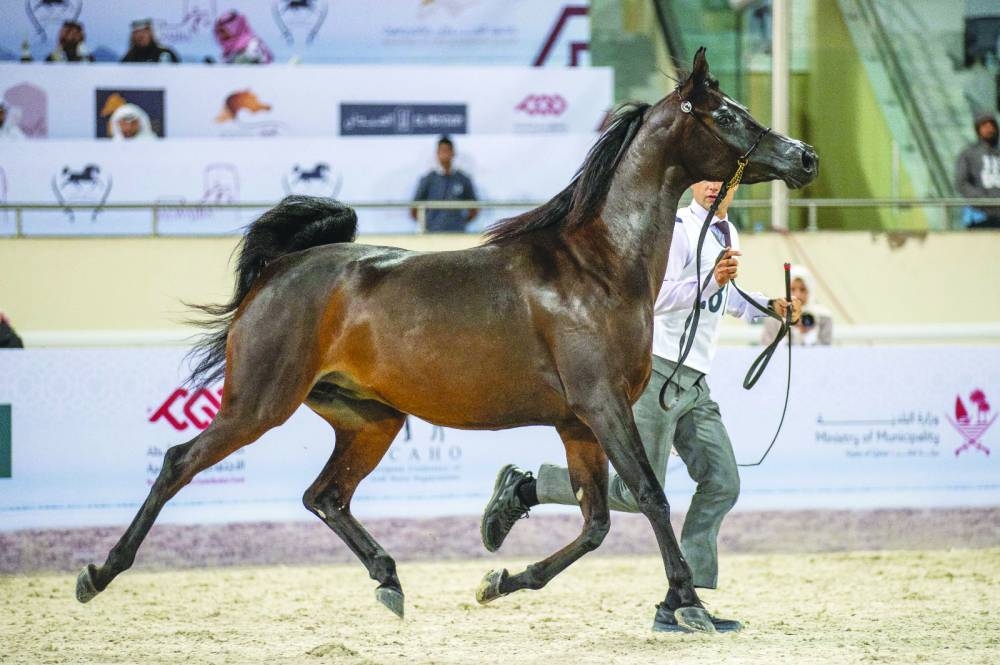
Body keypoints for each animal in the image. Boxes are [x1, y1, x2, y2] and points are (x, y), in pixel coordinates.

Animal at [75, 49, 817, 633]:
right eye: (728, 115)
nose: (804, 157)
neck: (597, 268)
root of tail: (281, 271)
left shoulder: (578, 423)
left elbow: (597, 520)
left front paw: (501, 580)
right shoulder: (604, 407)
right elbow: (652, 497)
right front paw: (688, 603)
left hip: (369, 418)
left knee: (325, 496)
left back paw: (389, 579)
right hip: (257, 404)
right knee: (178, 463)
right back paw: (99, 572)